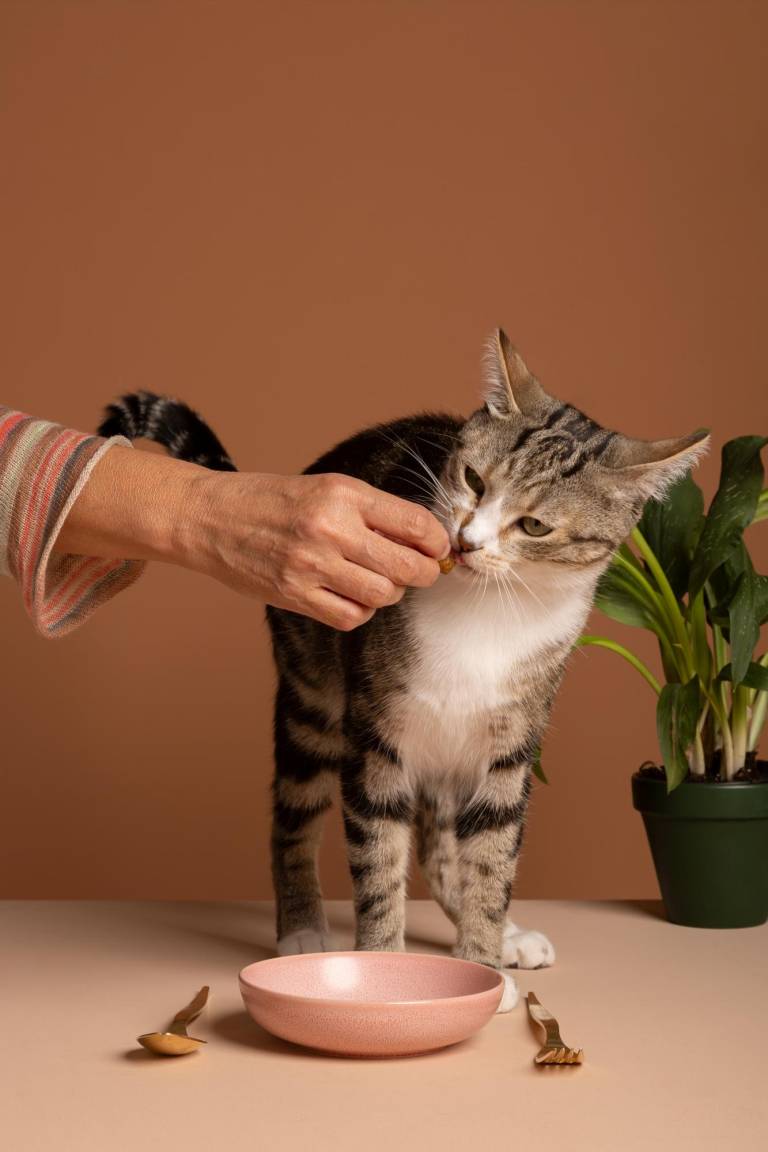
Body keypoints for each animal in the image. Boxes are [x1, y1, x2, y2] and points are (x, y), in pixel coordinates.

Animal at [100, 331, 709, 1009]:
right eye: (472, 478)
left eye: (534, 525)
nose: (467, 543)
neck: (487, 611)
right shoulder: (377, 734)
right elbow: (379, 860)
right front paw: (384, 971)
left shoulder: (512, 743)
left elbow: (492, 858)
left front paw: (482, 964)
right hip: (314, 695)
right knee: (295, 814)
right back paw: (302, 927)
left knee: (445, 851)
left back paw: (507, 936)